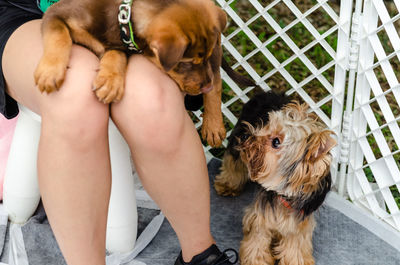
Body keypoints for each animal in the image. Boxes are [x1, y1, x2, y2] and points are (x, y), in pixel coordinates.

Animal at [34, 0, 227, 145]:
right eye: (186, 63)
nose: (206, 88)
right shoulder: (55, 13)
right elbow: (59, 35)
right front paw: (50, 71)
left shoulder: (120, 46)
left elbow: (116, 55)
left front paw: (110, 83)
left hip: (216, 50)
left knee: (217, 79)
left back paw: (214, 125)